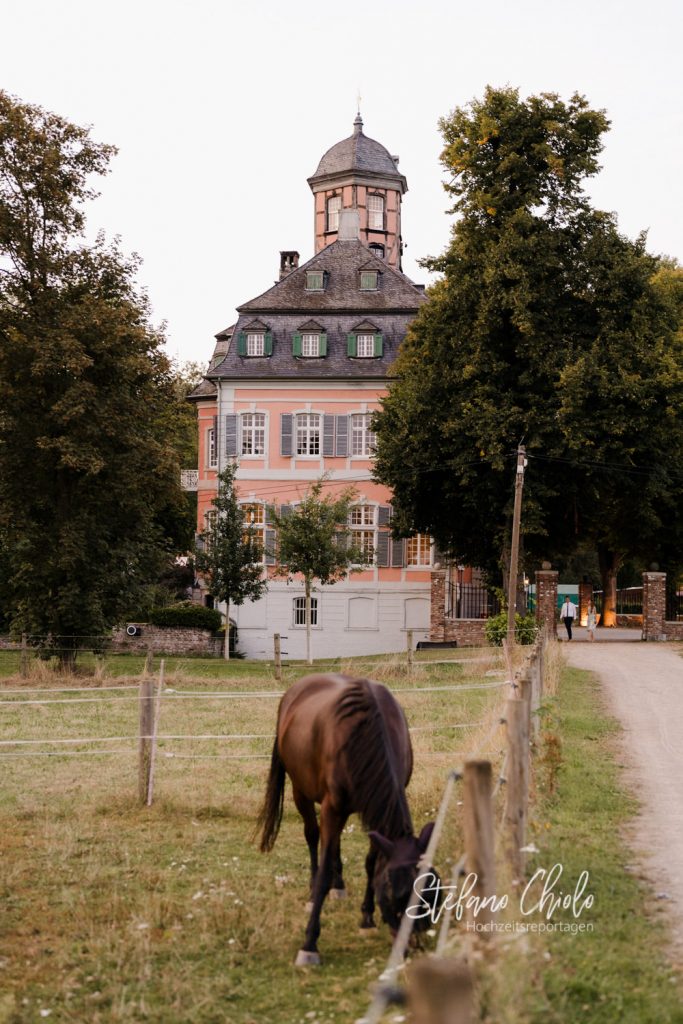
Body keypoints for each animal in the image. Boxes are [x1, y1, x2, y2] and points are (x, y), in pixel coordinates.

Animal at [255, 675, 438, 962]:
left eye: (432, 897)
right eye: (396, 894)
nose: (415, 946)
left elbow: (371, 862)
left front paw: (367, 917)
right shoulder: (332, 807)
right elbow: (324, 864)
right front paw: (309, 943)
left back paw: (338, 884)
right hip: (301, 793)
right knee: (313, 836)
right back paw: (314, 891)